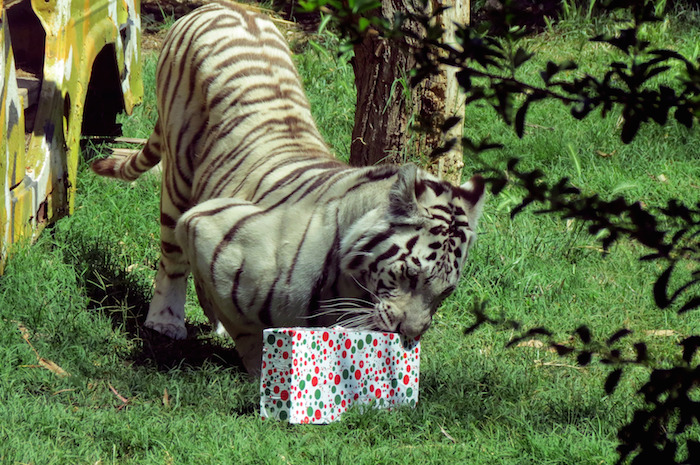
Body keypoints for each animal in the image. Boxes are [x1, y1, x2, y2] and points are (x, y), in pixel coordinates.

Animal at [91, 1, 485, 375]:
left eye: (446, 292)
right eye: (409, 275)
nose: (410, 335)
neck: (349, 288)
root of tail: (225, 7)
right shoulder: (206, 226)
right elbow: (248, 331)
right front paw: (261, 369)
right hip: (178, 179)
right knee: (172, 258)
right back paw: (166, 320)